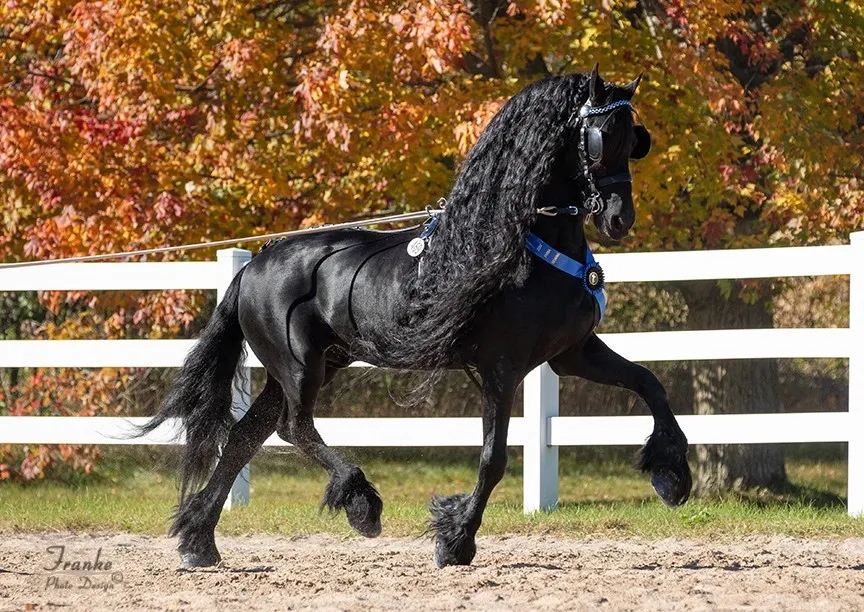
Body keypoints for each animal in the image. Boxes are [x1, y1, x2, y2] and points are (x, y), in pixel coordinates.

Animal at [137, 64, 692, 569]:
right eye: (599, 138)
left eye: (634, 138)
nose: (620, 218)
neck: (519, 246)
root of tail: (253, 264)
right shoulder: (502, 368)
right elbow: (493, 458)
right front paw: (456, 539)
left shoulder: (572, 353)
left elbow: (650, 384)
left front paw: (672, 476)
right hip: (299, 367)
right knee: (293, 427)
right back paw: (360, 503)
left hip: (305, 367)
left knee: (243, 438)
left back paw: (199, 543)